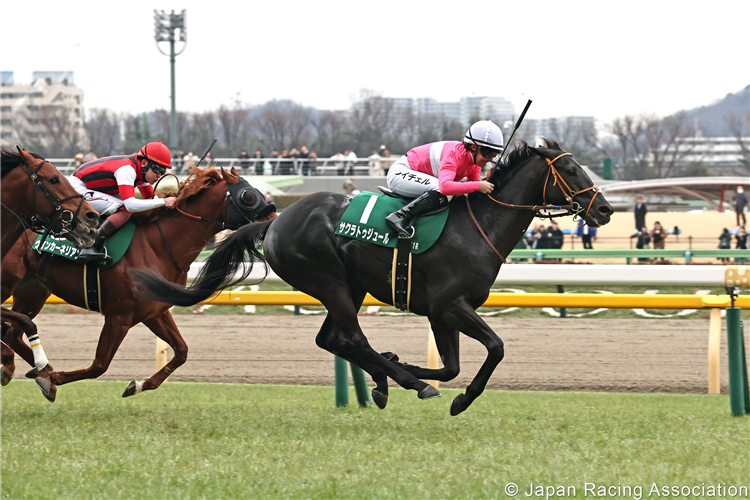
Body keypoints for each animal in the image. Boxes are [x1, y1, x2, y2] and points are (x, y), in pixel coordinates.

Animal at [135, 140, 612, 414]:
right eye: (571, 171)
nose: (605, 209)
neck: (479, 227)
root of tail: (274, 220)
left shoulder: (441, 312)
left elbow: (452, 366)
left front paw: (407, 364)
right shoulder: (449, 305)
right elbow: (493, 349)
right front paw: (456, 398)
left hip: (351, 286)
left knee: (332, 339)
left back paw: (385, 380)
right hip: (329, 282)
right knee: (351, 338)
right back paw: (405, 383)